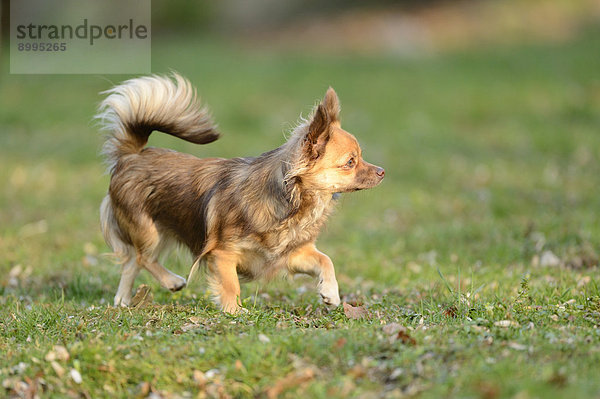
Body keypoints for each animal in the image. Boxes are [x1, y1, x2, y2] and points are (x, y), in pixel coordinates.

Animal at [96, 74, 382, 312]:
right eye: (351, 162)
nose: (382, 171)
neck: (294, 202)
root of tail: (132, 155)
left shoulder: (291, 254)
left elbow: (325, 259)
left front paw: (330, 293)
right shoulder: (222, 254)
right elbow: (231, 283)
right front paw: (234, 311)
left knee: (132, 262)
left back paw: (122, 300)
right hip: (148, 230)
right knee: (142, 257)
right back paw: (172, 281)